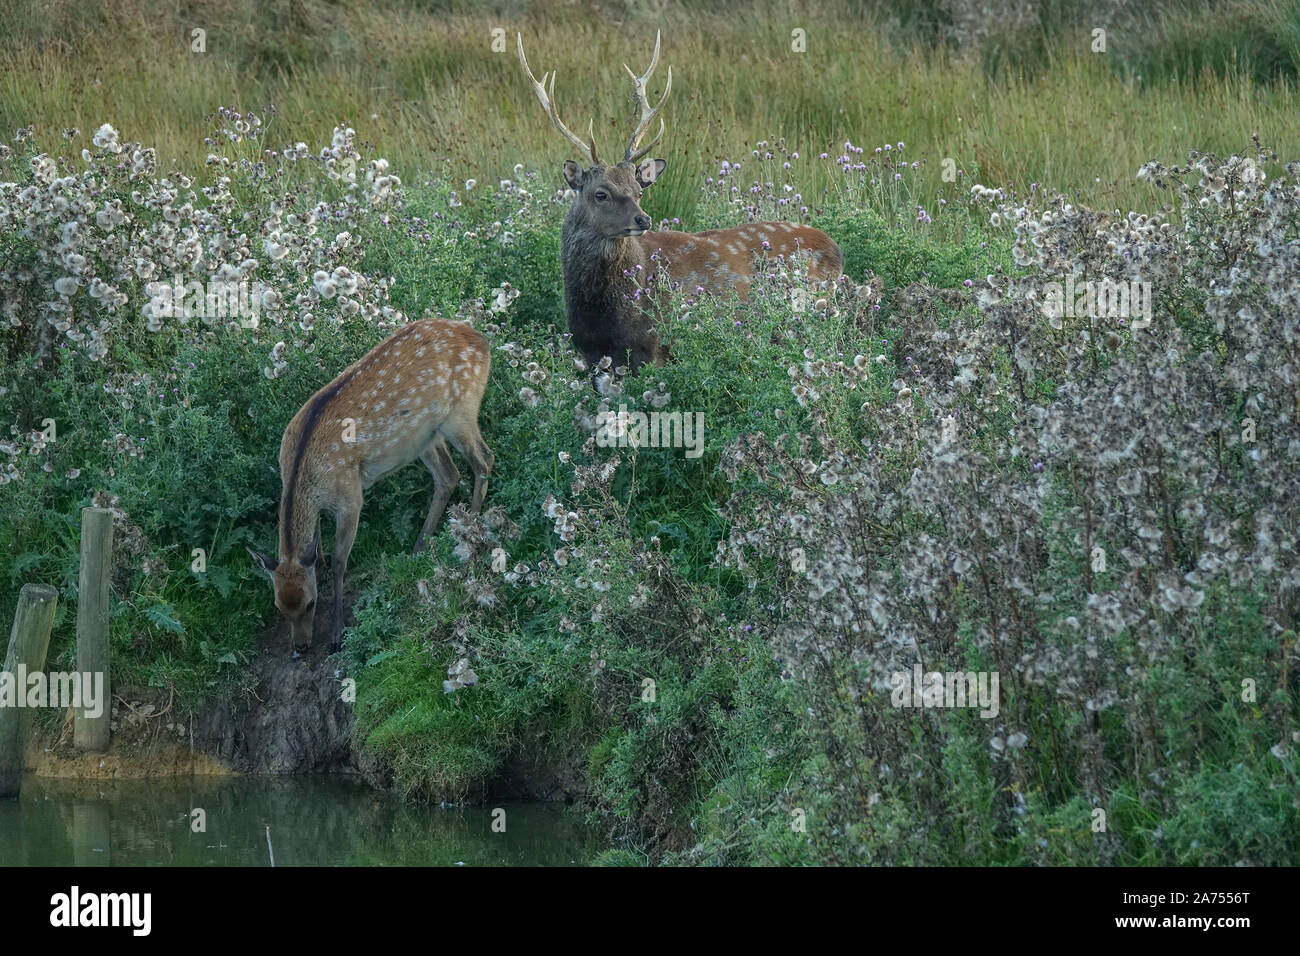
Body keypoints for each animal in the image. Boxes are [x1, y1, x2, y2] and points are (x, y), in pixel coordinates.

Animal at [247, 318, 494, 654]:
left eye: (310, 604)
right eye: (279, 607)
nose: (301, 648)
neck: (302, 469)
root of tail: (482, 341)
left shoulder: (351, 495)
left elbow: (339, 561)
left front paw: (337, 634)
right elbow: (318, 550)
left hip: (461, 412)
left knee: (483, 460)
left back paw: (471, 528)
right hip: (423, 435)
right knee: (449, 474)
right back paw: (420, 545)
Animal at [518, 31, 843, 374]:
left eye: (639, 190)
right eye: (600, 193)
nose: (643, 219)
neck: (604, 317)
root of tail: (836, 250)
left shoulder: (656, 345)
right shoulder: (590, 352)